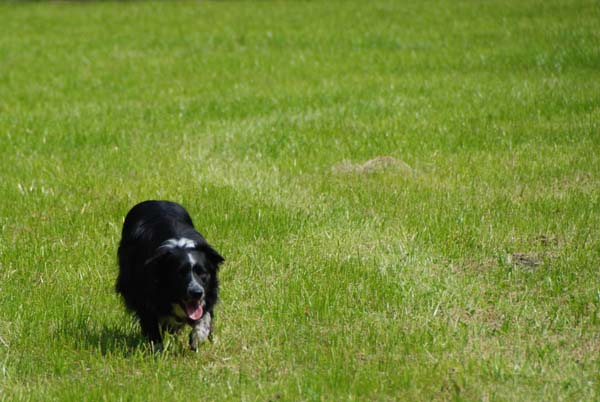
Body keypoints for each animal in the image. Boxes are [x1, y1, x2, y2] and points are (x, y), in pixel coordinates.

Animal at [115, 200, 223, 348]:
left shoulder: (208, 292)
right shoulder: (143, 292)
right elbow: (150, 322)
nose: (196, 293)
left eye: (203, 273)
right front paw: (157, 348)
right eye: (180, 274)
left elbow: (205, 315)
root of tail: (154, 200)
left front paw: (198, 336)